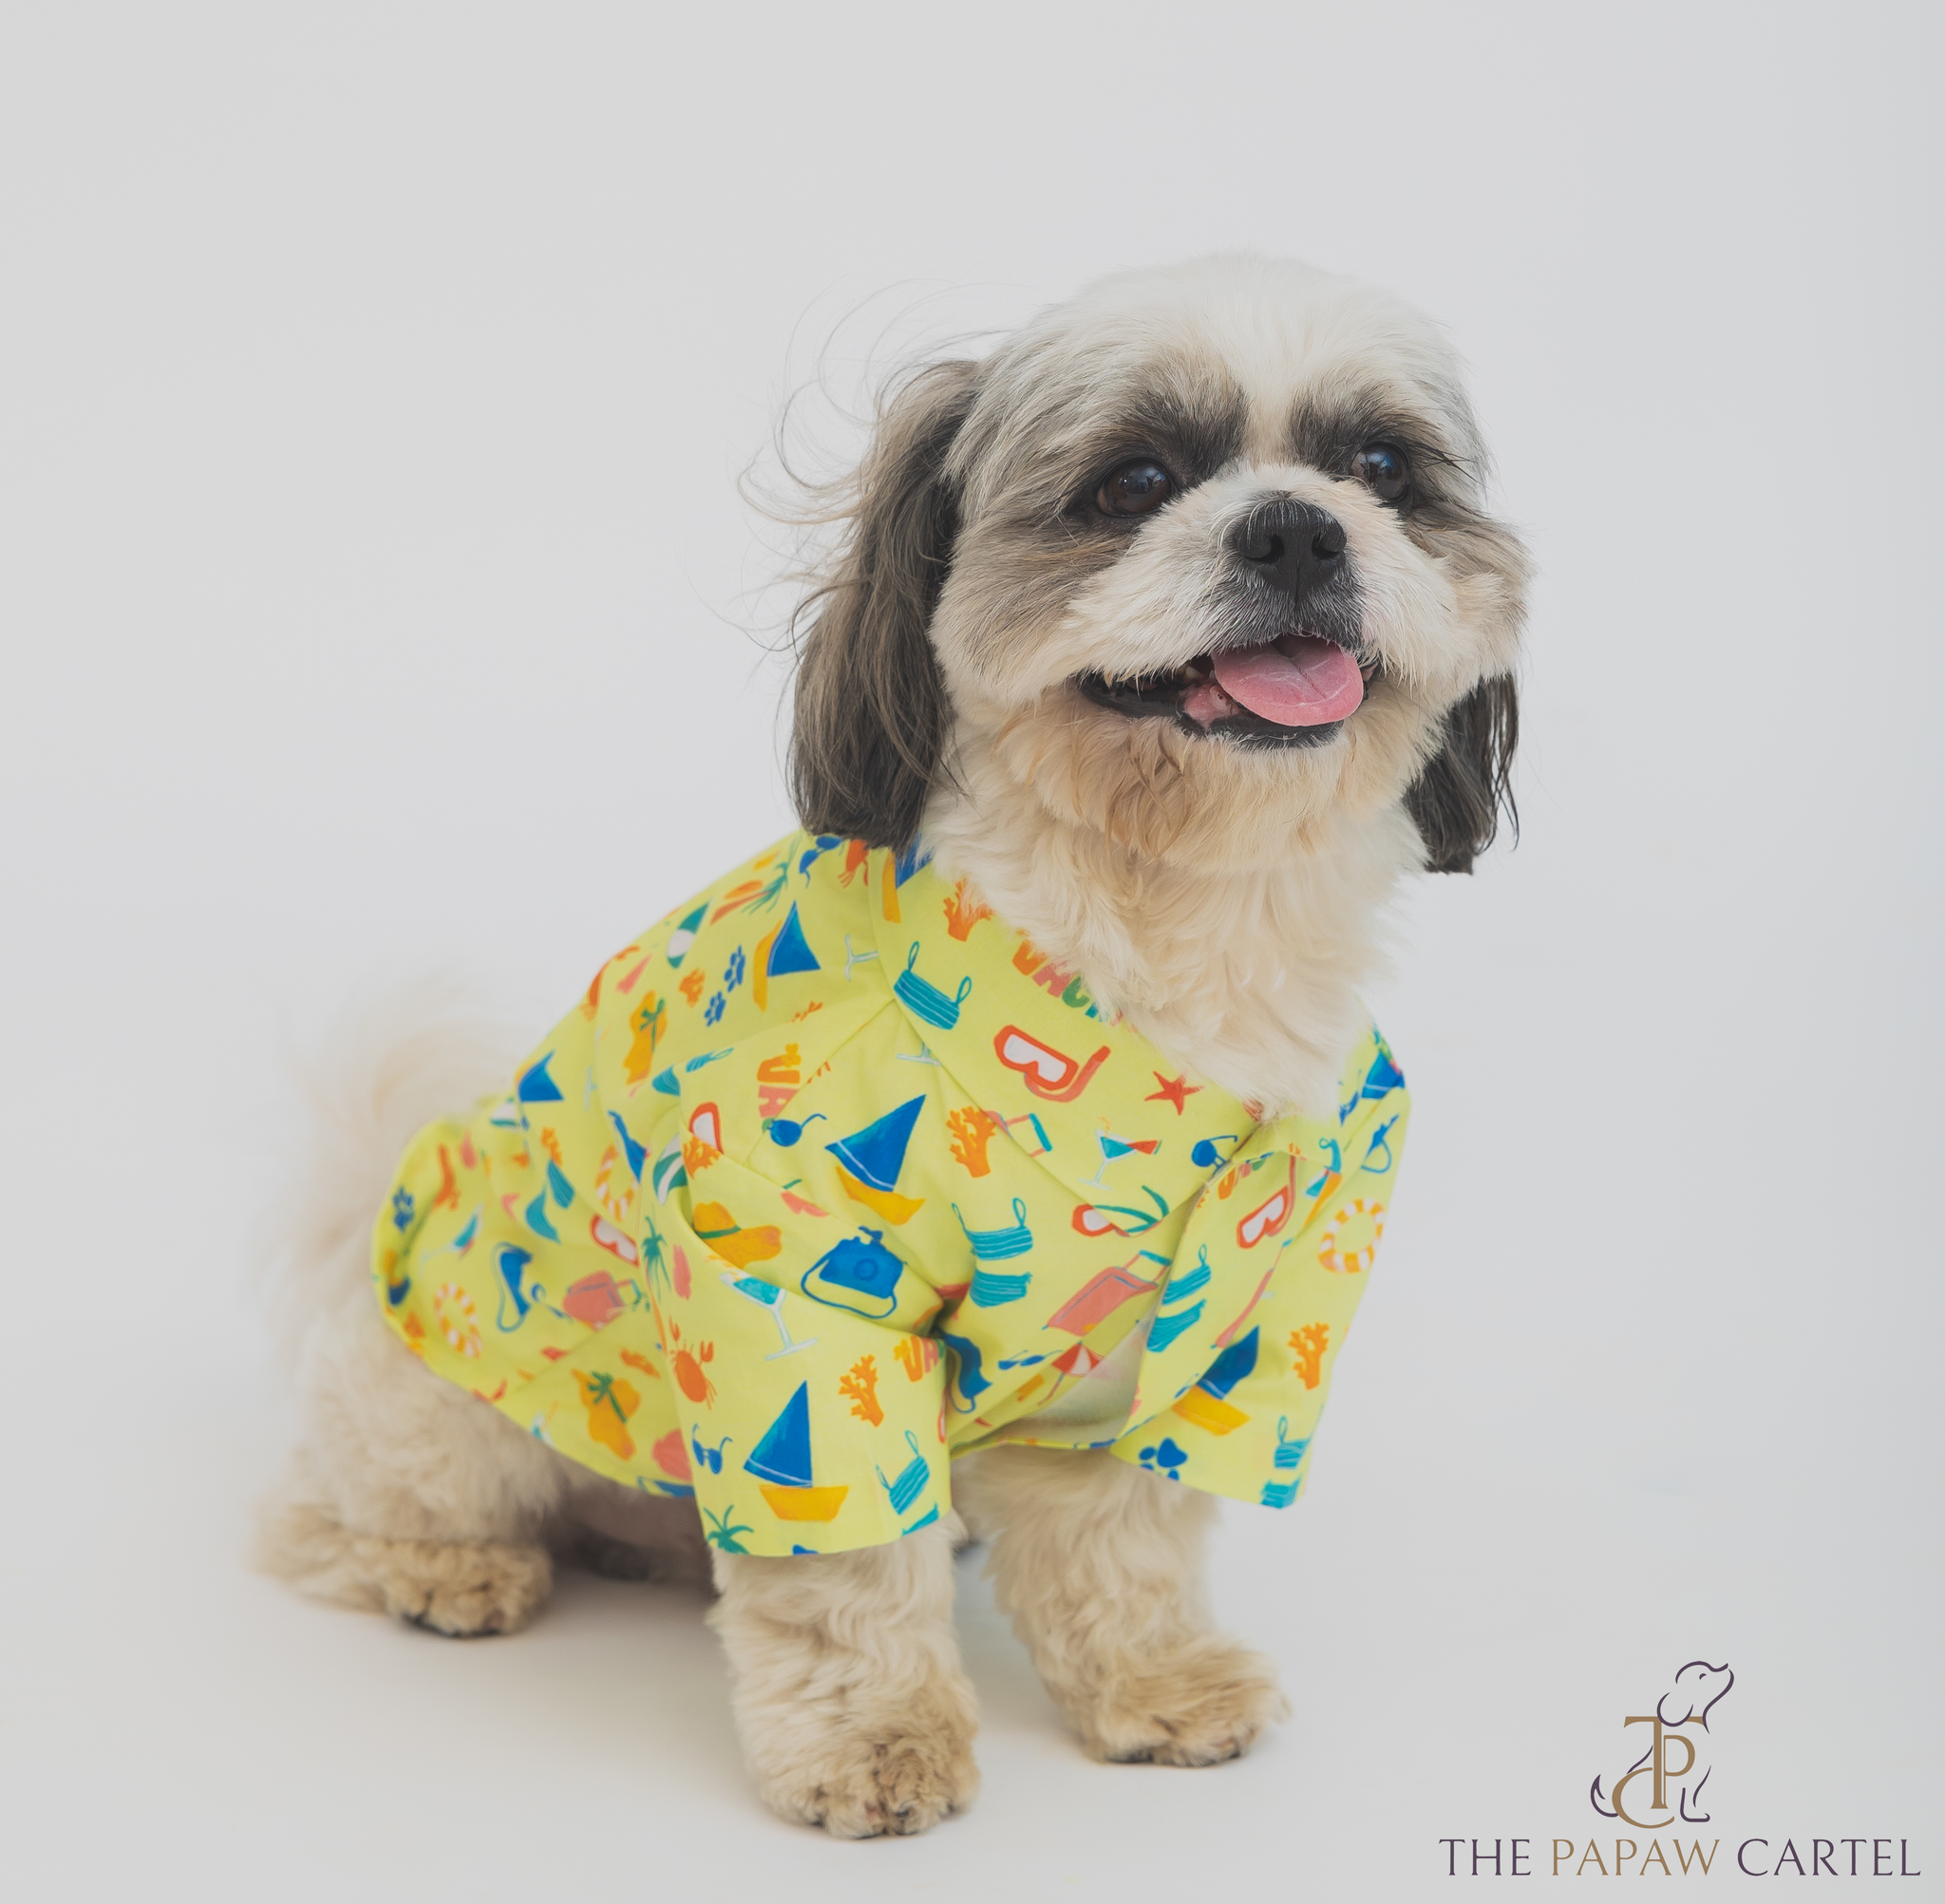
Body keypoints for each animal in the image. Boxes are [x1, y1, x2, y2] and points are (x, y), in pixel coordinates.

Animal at [259, 253, 1530, 1838]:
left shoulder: (1192, 1317)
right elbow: (847, 1566)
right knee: (336, 1512)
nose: (1297, 526)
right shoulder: (786, 1288)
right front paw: (875, 1739)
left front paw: (1153, 1679)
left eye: (1382, 470)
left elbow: (1122, 1529)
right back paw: (448, 1566)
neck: (1172, 919)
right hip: (454, 1382)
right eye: (1134, 479)